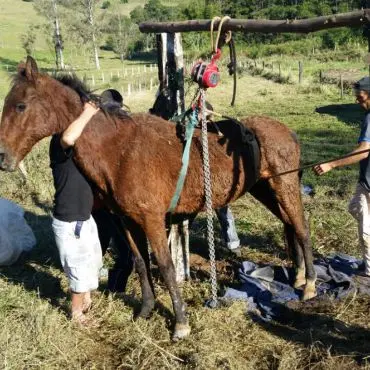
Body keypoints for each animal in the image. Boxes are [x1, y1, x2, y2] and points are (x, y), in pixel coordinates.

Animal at [0, 56, 316, 340]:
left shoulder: (151, 219)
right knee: (289, 225)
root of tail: (287, 131)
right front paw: (145, 310)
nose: (3, 158)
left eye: (21, 105)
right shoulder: (127, 221)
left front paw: (181, 324)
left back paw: (309, 285)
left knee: (301, 227)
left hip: (284, 185)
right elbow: (141, 263)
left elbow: (165, 266)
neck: (119, 151)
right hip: (266, 190)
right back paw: (299, 275)